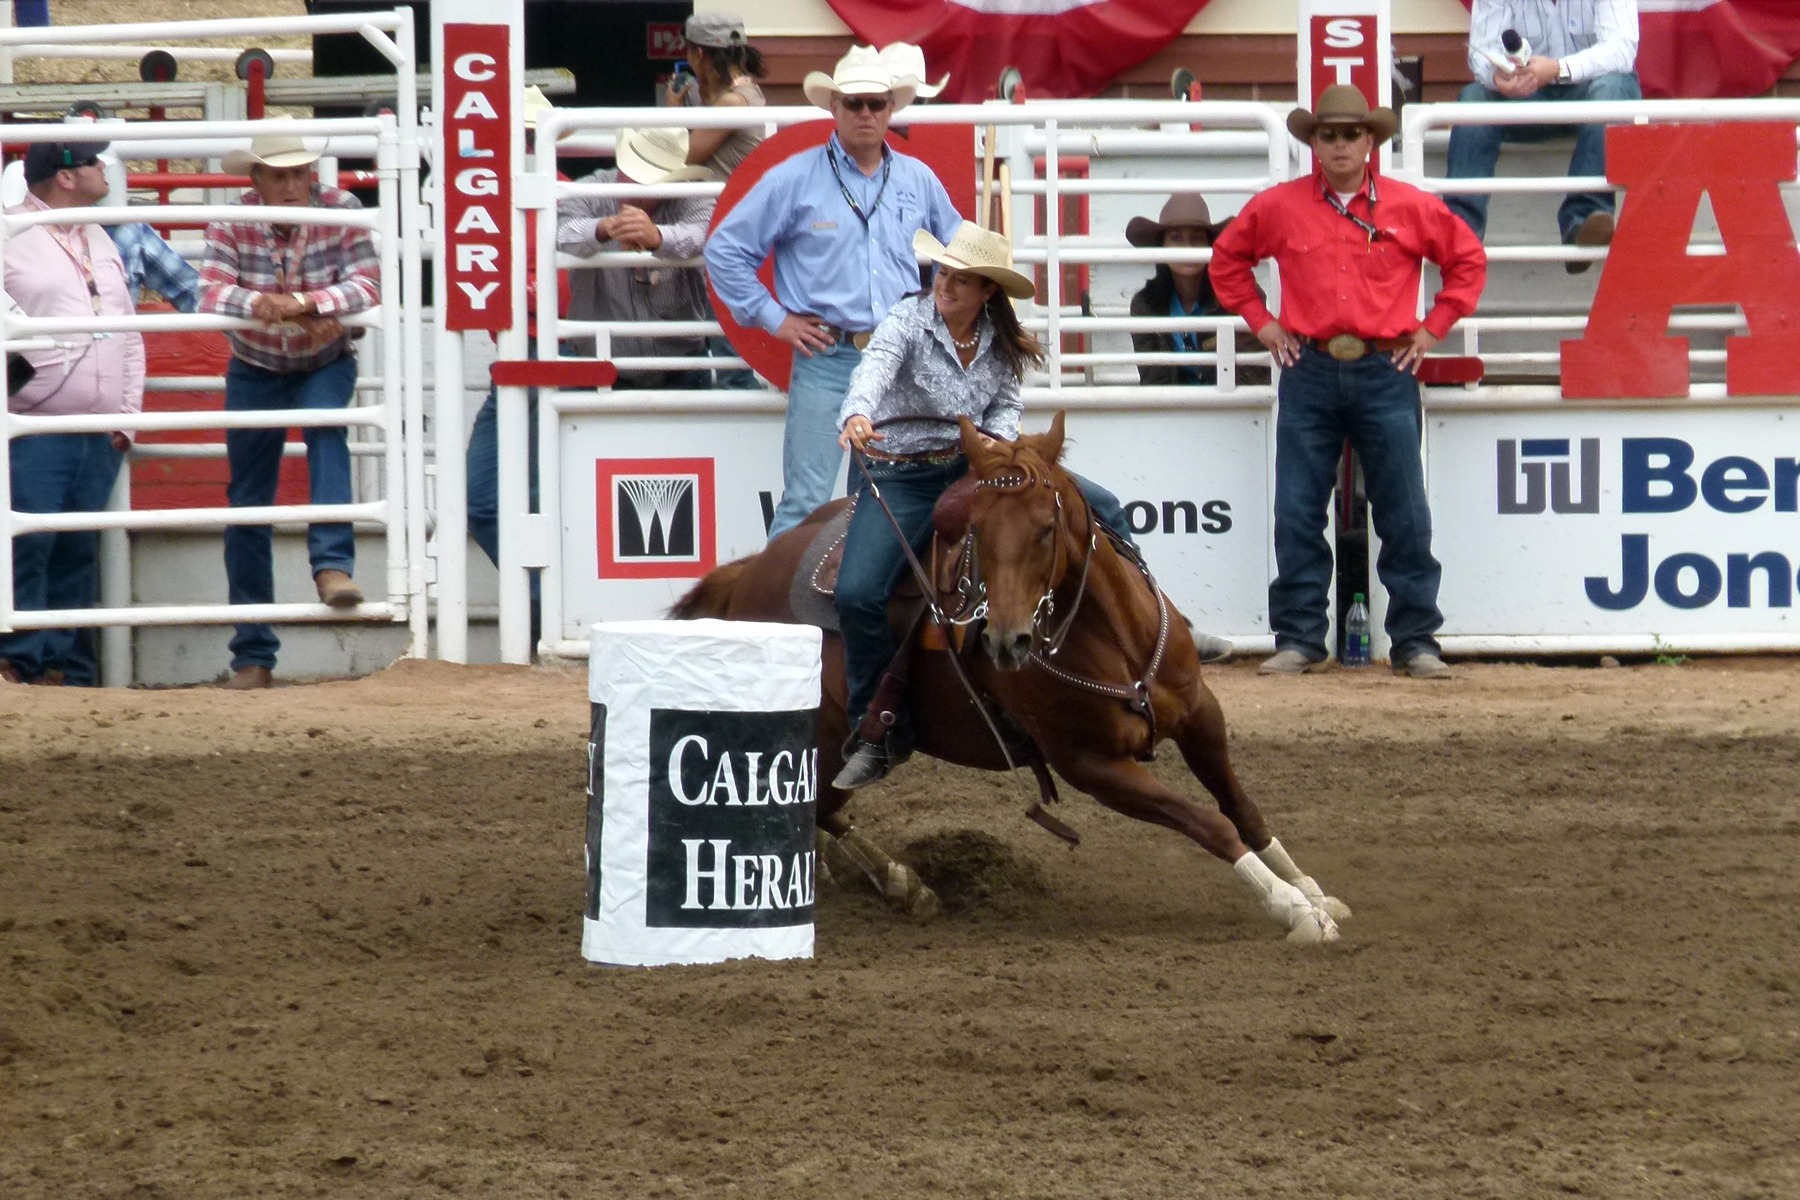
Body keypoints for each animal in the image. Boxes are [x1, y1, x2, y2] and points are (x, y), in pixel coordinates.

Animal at [669, 417, 1346, 942]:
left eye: (1046, 529)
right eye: (978, 533)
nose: (1005, 641)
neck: (1114, 639)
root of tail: (750, 572)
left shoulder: (1201, 715)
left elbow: (1241, 808)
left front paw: (1311, 889)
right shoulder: (1091, 764)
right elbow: (1208, 821)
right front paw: (1290, 908)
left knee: (824, 812)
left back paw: (891, 881)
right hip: (817, 737)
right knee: (815, 806)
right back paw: (891, 880)